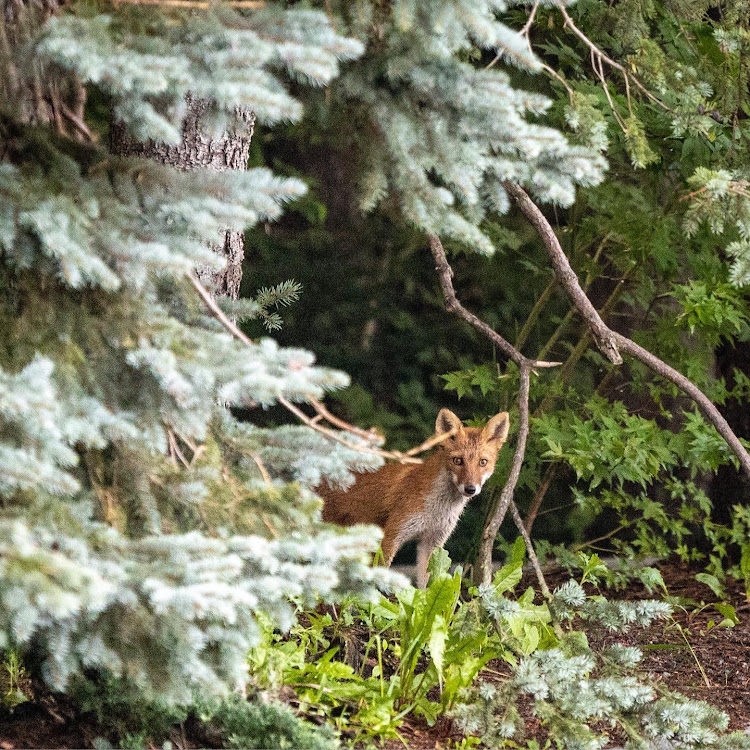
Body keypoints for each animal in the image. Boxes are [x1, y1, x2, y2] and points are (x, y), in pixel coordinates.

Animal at [318, 412, 512, 588]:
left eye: (482, 462)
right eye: (458, 460)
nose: (470, 489)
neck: (437, 509)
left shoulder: (432, 542)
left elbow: (426, 585)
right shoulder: (391, 535)